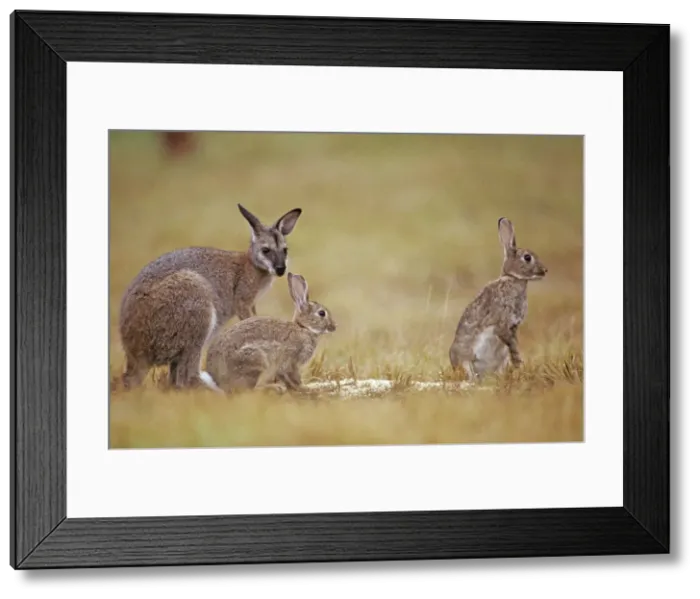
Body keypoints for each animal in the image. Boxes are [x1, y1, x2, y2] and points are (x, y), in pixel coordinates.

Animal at [118, 203, 302, 391]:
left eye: (285, 250)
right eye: (266, 250)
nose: (281, 269)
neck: (253, 266)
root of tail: (135, 355)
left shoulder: (251, 303)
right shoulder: (243, 299)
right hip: (196, 303)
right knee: (186, 377)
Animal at [205, 272, 337, 395]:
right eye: (322, 313)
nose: (334, 327)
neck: (303, 328)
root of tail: (216, 379)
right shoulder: (292, 360)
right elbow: (294, 378)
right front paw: (307, 388)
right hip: (256, 360)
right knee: (249, 390)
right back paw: (275, 388)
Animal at [449, 217, 548, 380]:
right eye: (527, 257)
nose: (545, 270)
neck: (513, 279)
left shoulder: (513, 327)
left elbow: (514, 346)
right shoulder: (503, 323)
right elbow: (512, 346)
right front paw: (520, 365)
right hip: (466, 360)